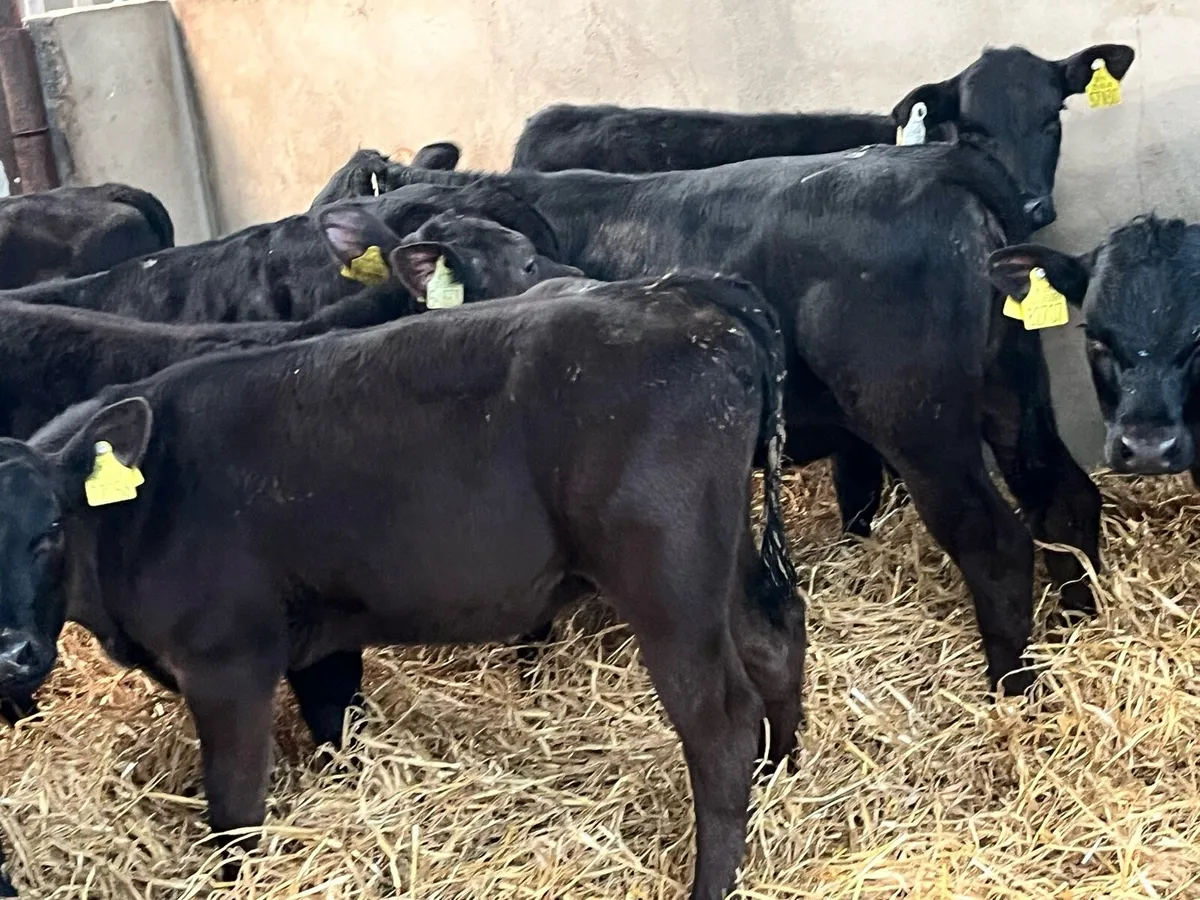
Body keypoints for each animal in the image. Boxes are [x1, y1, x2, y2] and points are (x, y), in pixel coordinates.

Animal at [0, 272, 805, 900]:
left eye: (50, 530)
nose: (11, 654)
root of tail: (684, 295)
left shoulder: (226, 663)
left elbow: (233, 804)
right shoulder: (320, 640)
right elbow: (337, 731)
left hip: (666, 578)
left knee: (718, 719)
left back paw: (714, 874)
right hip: (722, 556)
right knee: (773, 639)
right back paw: (784, 773)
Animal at [361, 139, 1103, 694]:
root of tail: (941, 163)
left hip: (919, 418)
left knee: (994, 539)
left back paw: (1011, 685)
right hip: (1013, 390)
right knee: (1063, 495)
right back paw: (1080, 621)